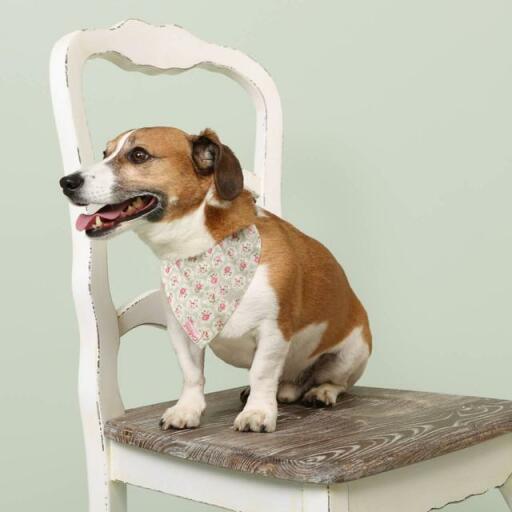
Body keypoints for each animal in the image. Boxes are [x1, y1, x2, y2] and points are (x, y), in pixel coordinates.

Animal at [60, 127, 372, 432]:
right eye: (105, 153)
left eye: (139, 155)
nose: (66, 182)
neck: (199, 247)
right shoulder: (182, 332)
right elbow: (191, 374)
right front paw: (187, 409)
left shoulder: (273, 330)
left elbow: (262, 373)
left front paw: (258, 412)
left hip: (350, 353)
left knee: (336, 382)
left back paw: (321, 392)